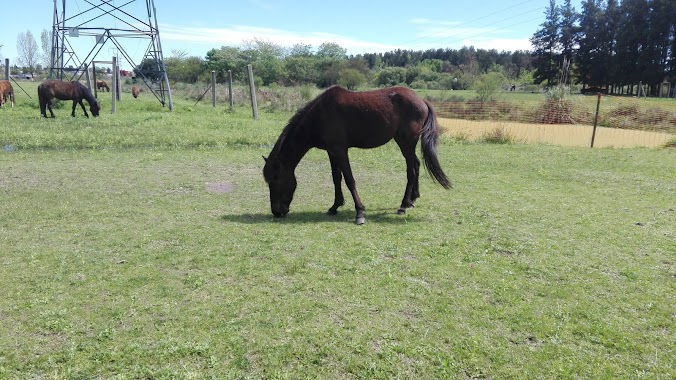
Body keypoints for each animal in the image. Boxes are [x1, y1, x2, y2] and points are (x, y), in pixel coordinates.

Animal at [262, 84, 452, 224]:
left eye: (275, 179)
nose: (276, 211)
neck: (319, 116)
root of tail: (422, 100)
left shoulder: (340, 150)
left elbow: (349, 179)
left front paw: (360, 212)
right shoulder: (331, 151)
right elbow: (336, 178)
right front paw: (335, 206)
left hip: (406, 142)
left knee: (411, 170)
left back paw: (403, 205)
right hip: (406, 144)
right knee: (416, 165)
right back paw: (413, 199)